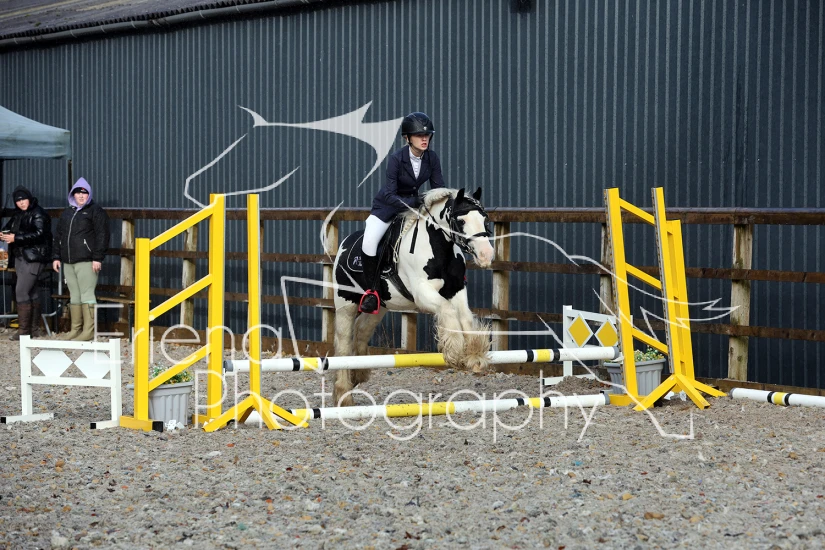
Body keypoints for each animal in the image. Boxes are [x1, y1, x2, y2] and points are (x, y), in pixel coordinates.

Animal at [331, 187, 495, 407]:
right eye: (461, 221)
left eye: (484, 219)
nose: (486, 255)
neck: (438, 249)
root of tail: (345, 243)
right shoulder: (422, 292)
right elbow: (447, 310)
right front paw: (454, 351)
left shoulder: (457, 290)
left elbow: (466, 317)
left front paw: (474, 356)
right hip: (345, 304)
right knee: (343, 343)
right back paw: (344, 395)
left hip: (380, 305)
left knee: (362, 329)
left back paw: (360, 374)